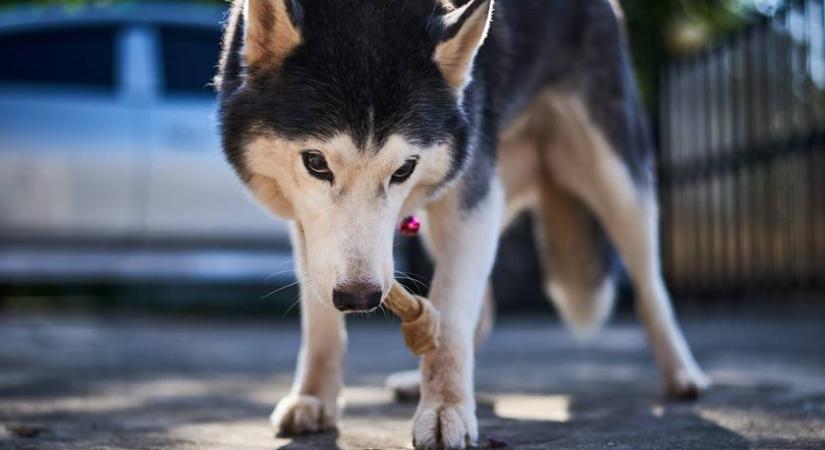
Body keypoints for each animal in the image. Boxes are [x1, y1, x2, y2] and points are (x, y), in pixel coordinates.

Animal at [214, 0, 708, 446]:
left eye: (403, 169)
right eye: (316, 163)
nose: (360, 298)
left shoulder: (472, 197)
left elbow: (451, 313)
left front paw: (444, 409)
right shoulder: (309, 223)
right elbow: (321, 320)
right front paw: (314, 398)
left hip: (614, 177)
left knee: (649, 283)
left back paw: (683, 373)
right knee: (483, 305)